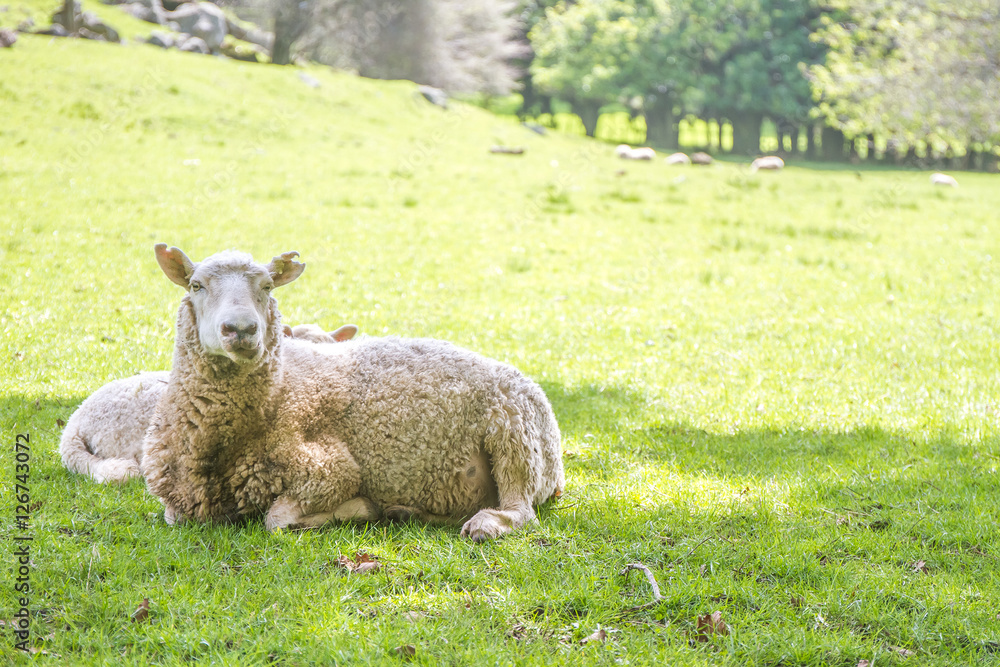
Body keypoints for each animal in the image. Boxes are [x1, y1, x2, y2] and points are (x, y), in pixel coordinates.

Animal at [142, 245, 564, 541]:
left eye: (267, 287)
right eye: (196, 285)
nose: (242, 329)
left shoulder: (329, 469)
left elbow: (276, 519)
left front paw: (357, 509)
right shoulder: (176, 501)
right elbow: (174, 516)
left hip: (515, 439)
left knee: (521, 510)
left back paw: (483, 525)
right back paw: (411, 512)